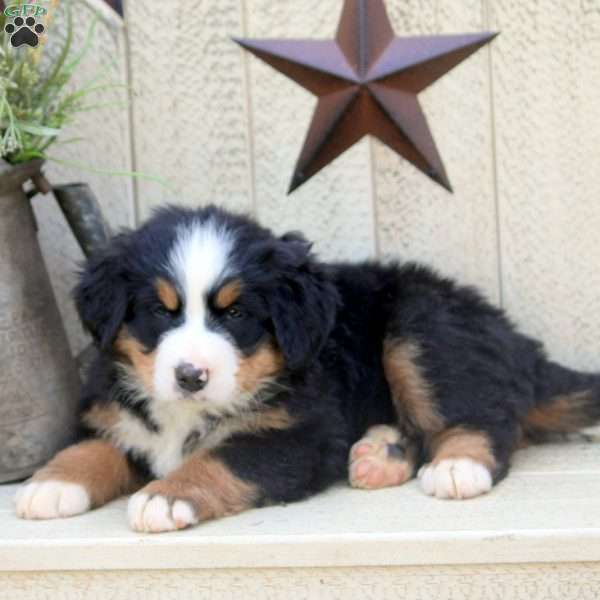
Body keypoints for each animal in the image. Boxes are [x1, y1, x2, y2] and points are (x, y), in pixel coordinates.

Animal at [12, 205, 600, 528]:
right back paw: (379, 455)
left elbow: (219, 459)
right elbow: (94, 446)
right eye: (160, 310)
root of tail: (513, 336)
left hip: (422, 327)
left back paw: (458, 466)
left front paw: (165, 496)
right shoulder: (120, 417)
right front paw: (52, 484)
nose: (190, 376)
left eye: (236, 314)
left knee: (485, 419)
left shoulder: (298, 435)